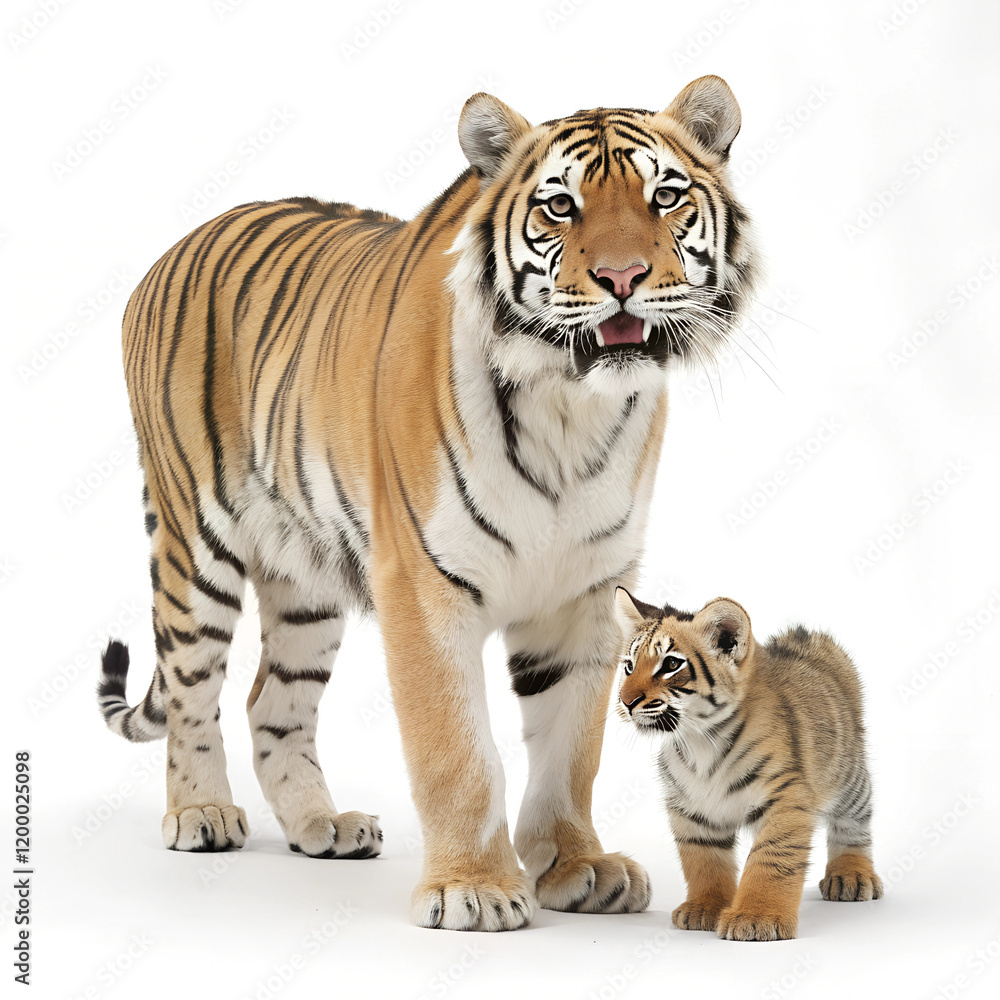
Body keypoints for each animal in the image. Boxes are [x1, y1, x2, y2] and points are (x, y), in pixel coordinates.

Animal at [96, 75, 761, 931]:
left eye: (666, 197)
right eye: (560, 207)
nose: (623, 279)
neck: (570, 405)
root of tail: (173, 247)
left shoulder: (586, 592)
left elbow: (571, 750)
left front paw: (579, 867)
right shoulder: (423, 583)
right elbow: (457, 750)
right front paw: (472, 888)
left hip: (305, 579)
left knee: (271, 702)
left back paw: (322, 826)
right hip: (193, 544)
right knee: (192, 690)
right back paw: (201, 813)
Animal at [614, 588, 883, 941]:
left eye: (671, 664)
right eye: (629, 666)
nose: (625, 701)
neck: (699, 740)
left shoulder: (786, 796)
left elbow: (770, 859)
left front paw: (756, 918)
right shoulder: (690, 808)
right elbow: (704, 861)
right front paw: (705, 908)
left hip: (846, 775)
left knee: (855, 822)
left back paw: (850, 876)